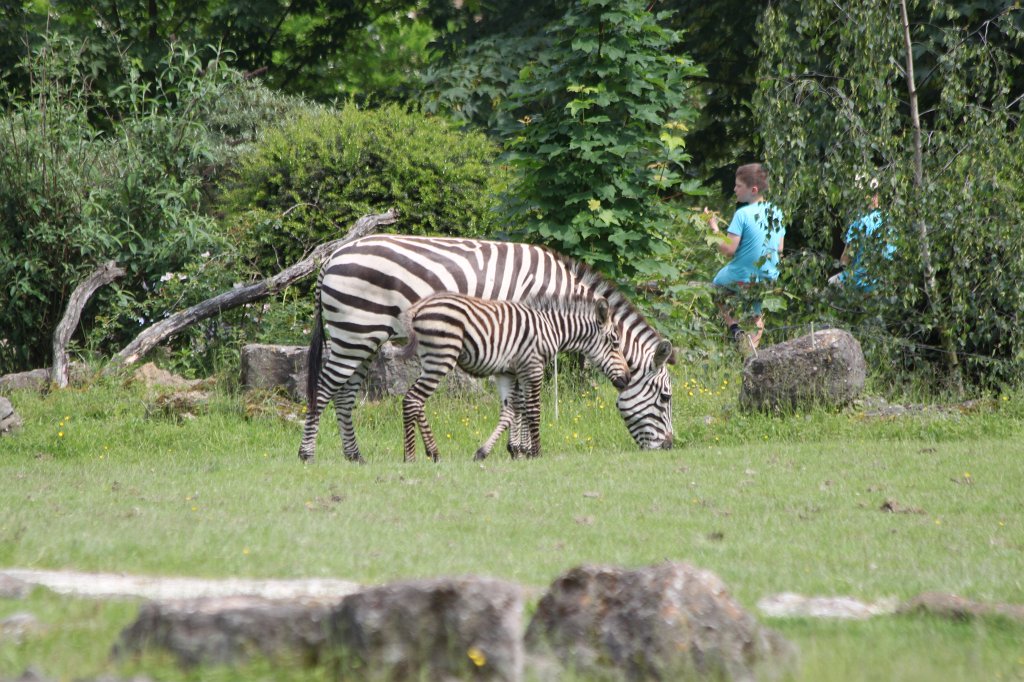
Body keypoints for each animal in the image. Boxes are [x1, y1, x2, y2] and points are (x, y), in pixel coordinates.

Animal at [397, 293, 630, 462]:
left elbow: (511, 410)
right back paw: (410, 457)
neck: (552, 329)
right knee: (413, 399)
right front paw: (536, 453)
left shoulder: (507, 372)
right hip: (442, 356)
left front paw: (496, 451)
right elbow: (533, 410)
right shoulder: (532, 367)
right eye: (615, 343)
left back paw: (433, 453)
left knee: (417, 401)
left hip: (430, 360)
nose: (627, 379)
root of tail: (419, 307)